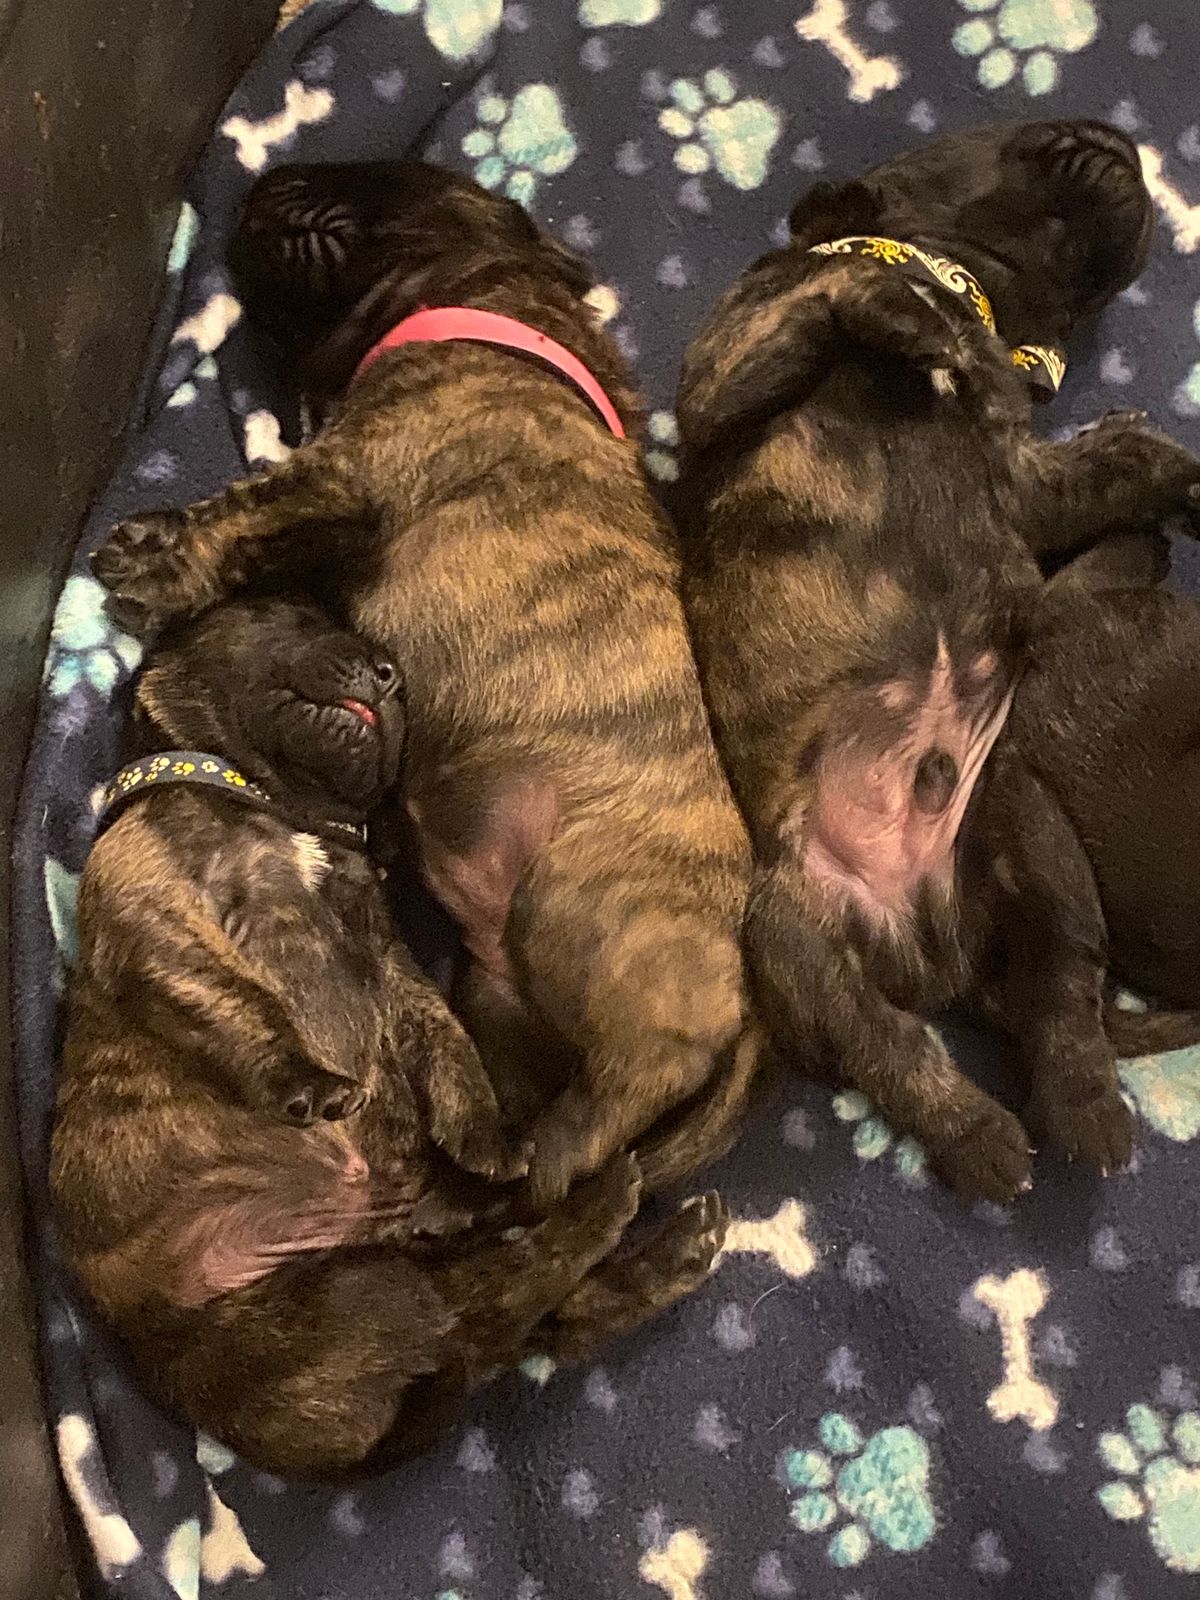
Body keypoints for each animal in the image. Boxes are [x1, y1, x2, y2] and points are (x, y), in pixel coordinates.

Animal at [51, 598, 728, 1478]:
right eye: (281, 614)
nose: (389, 674)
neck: (279, 804)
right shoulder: (156, 914)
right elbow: (235, 1001)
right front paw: (305, 1079)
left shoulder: (387, 960)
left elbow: (447, 1044)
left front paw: (485, 1140)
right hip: (355, 1299)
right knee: (503, 1309)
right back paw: (605, 1210)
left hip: (378, 1283)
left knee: (535, 1318)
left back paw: (631, 1235)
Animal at [90, 160, 760, 1203]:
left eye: (370, 185)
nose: (268, 183)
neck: (502, 301)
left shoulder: (351, 468)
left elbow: (242, 508)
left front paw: (151, 561)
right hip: (498, 992)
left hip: (586, 916)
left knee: (641, 1077)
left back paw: (556, 1159)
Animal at [674, 121, 1200, 1202]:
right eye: (1012, 139)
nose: (1117, 141)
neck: (955, 280)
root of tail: (935, 949)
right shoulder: (723, 374)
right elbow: (807, 321)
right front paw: (888, 309)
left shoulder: (1023, 475)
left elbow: (1112, 467)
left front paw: (1171, 470)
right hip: (784, 934)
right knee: (892, 1048)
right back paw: (985, 1136)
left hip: (1026, 824)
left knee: (1061, 992)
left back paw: (1081, 1107)